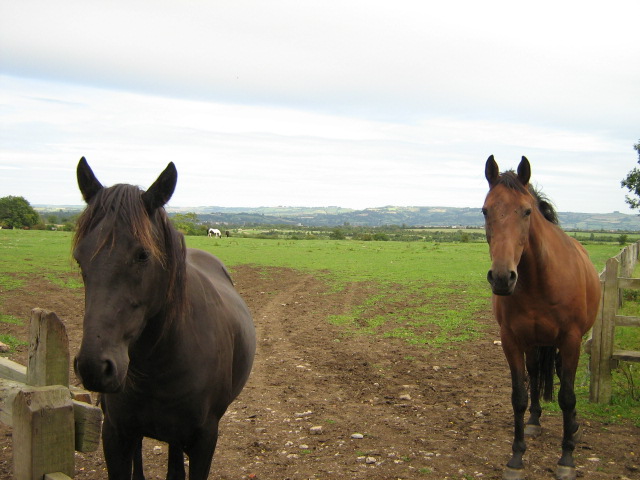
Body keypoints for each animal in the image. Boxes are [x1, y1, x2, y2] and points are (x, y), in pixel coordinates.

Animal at [73, 158, 258, 480]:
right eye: (79, 258)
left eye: (143, 255)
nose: (94, 367)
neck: (161, 361)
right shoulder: (115, 434)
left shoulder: (204, 440)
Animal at [484, 156, 600, 478]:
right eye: (485, 210)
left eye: (526, 211)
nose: (502, 278)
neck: (539, 279)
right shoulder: (511, 340)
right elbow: (518, 396)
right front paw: (516, 457)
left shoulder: (571, 339)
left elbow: (567, 396)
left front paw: (566, 459)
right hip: (534, 342)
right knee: (535, 373)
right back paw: (535, 421)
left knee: (559, 376)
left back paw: (573, 428)